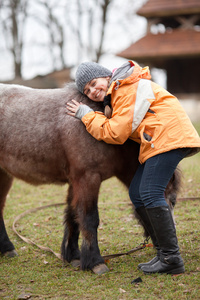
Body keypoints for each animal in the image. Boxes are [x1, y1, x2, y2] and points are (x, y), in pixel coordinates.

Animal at [0, 82, 181, 274]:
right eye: (169, 201)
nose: (173, 243)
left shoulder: (76, 181)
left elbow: (73, 215)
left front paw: (74, 256)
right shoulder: (88, 178)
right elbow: (89, 217)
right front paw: (95, 261)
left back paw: (7, 248)